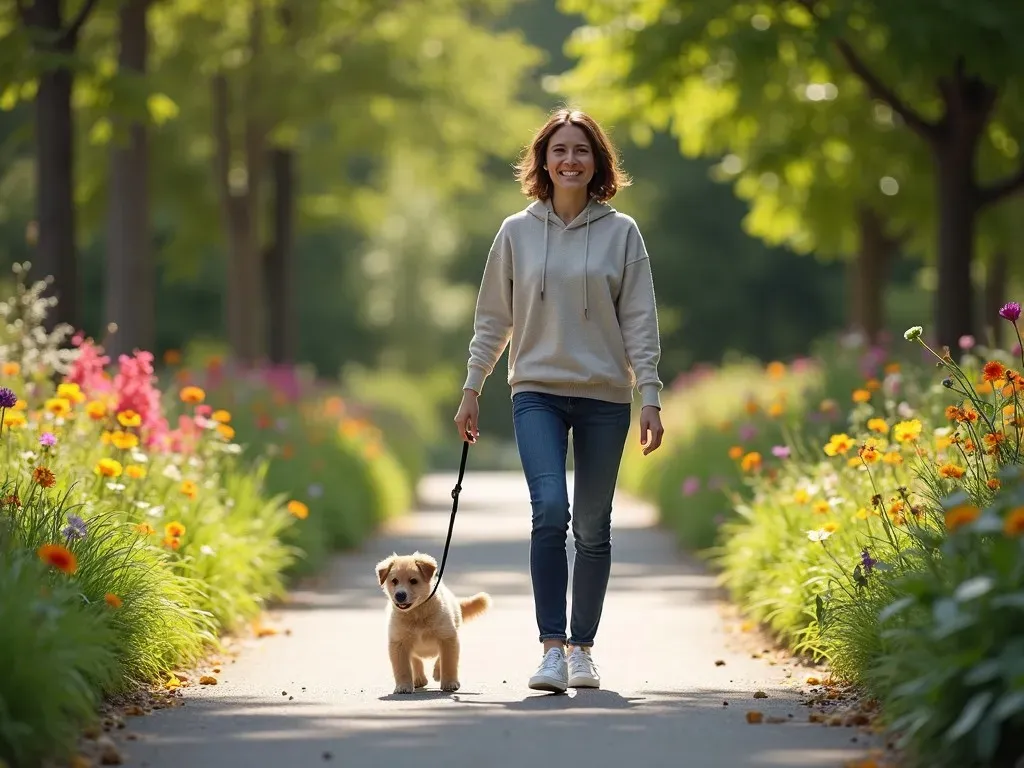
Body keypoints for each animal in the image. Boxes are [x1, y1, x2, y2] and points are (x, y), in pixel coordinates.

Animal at [376, 548, 491, 696]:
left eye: (413, 581)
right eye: (394, 581)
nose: (400, 595)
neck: (417, 614)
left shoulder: (448, 637)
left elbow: (448, 662)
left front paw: (450, 683)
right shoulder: (398, 642)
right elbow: (402, 668)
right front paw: (403, 686)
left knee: (439, 658)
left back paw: (437, 673)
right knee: (416, 660)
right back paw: (418, 678)